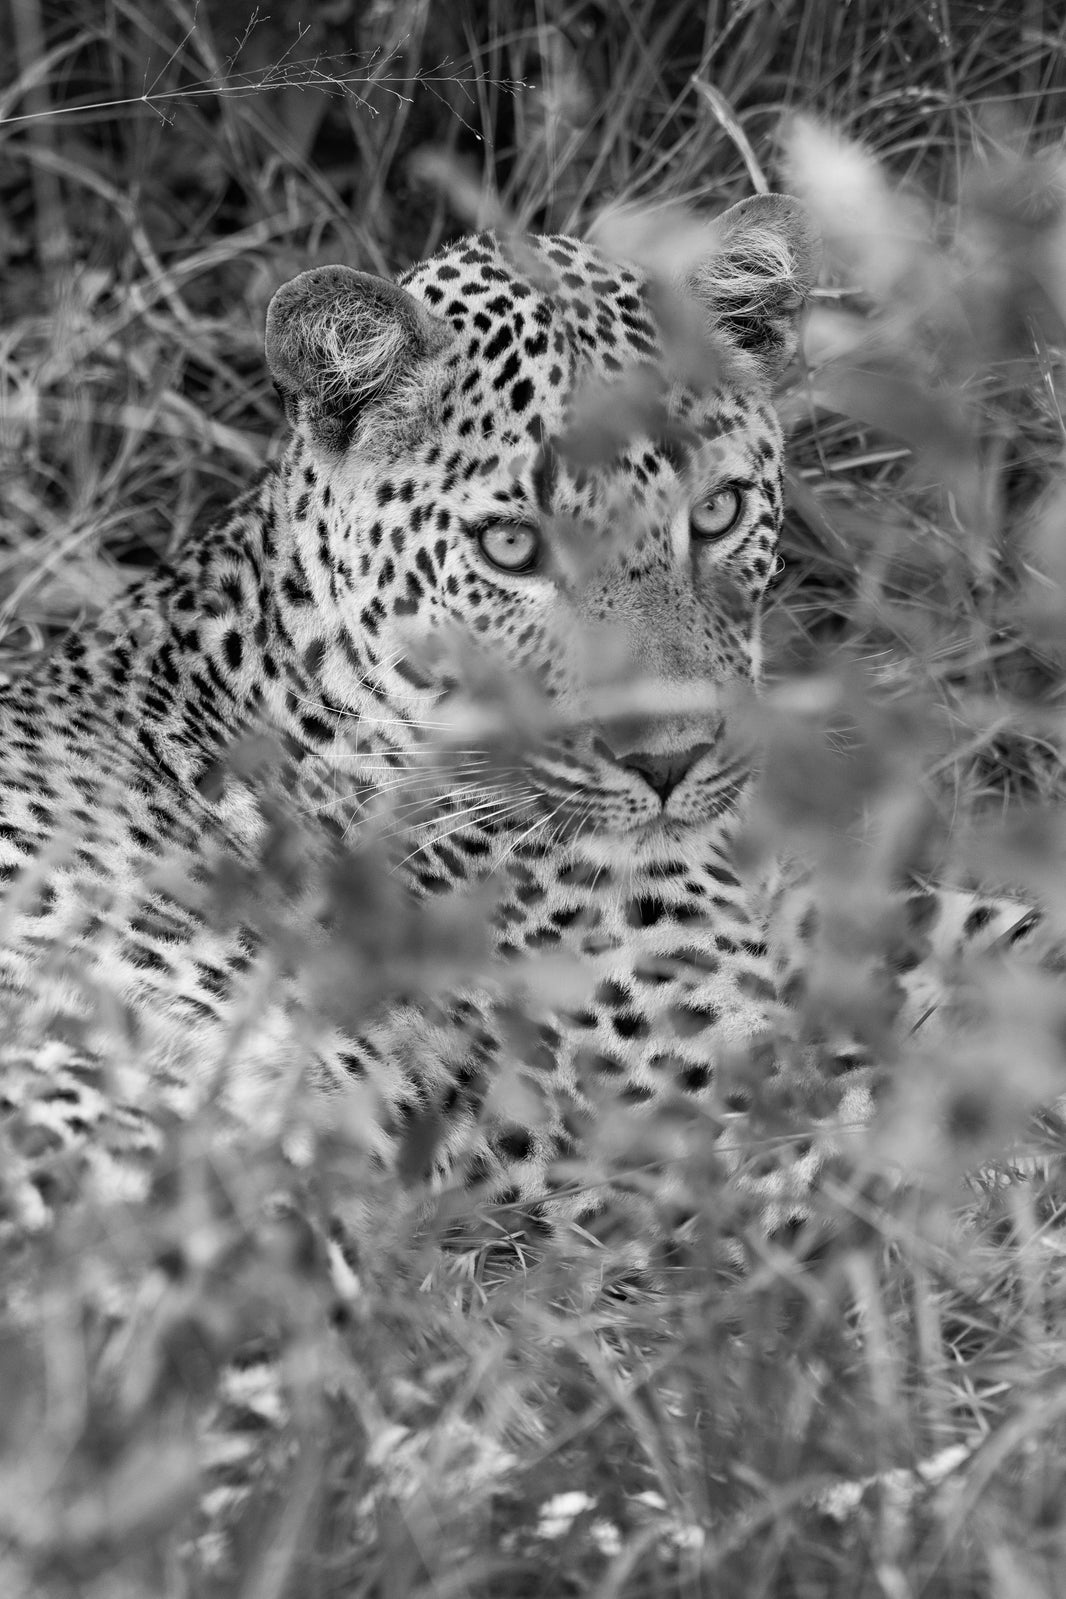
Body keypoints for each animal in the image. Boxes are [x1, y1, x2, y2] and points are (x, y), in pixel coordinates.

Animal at [0, 194, 1050, 1257]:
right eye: (511, 546)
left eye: (717, 512)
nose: (670, 760)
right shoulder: (702, 1102)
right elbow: (959, 1153)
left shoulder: (823, 912)